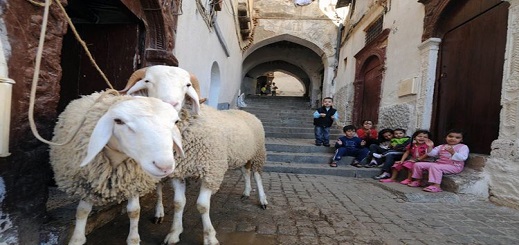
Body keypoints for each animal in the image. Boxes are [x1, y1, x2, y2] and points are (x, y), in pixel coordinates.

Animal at [47, 92, 185, 245]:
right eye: (118, 121)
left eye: (175, 122)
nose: (165, 166)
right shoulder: (87, 182)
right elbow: (82, 211)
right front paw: (76, 239)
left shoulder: (133, 182)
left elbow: (134, 211)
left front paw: (133, 239)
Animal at [125, 67, 268, 245]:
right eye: (147, 81)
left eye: (187, 85)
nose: (170, 104)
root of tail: (245, 113)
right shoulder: (179, 173)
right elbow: (178, 203)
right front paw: (174, 233)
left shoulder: (211, 172)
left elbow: (202, 206)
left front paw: (210, 237)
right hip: (242, 155)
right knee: (245, 172)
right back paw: (246, 192)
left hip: (258, 153)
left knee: (257, 175)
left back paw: (262, 200)